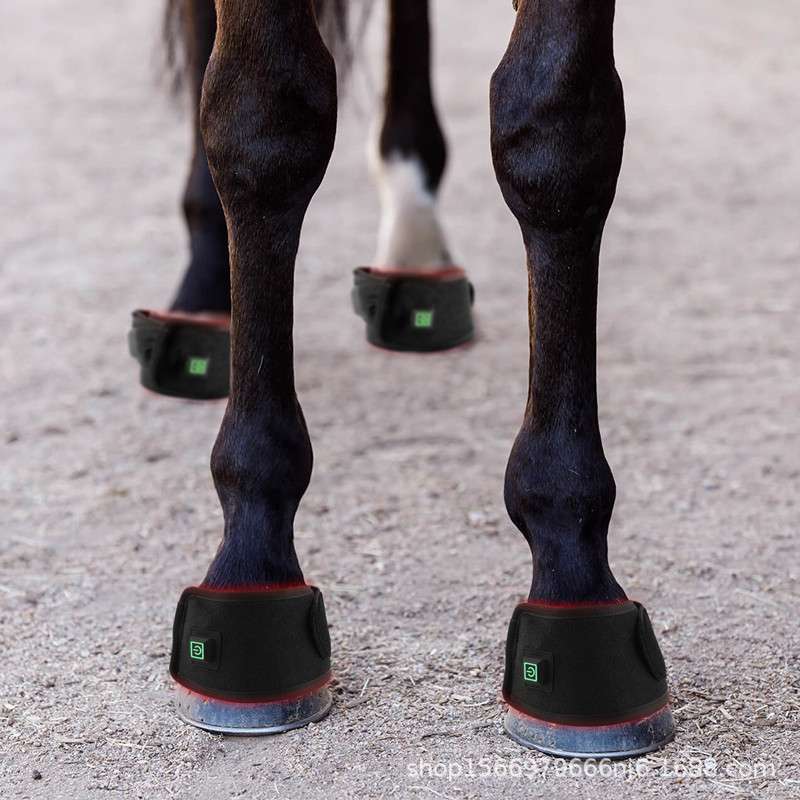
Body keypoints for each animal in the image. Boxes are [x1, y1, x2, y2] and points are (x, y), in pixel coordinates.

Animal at [147, 0, 675, 758]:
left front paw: (573, 571)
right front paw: (251, 560)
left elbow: (558, 133)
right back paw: (200, 296)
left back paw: (416, 248)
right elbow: (263, 118)